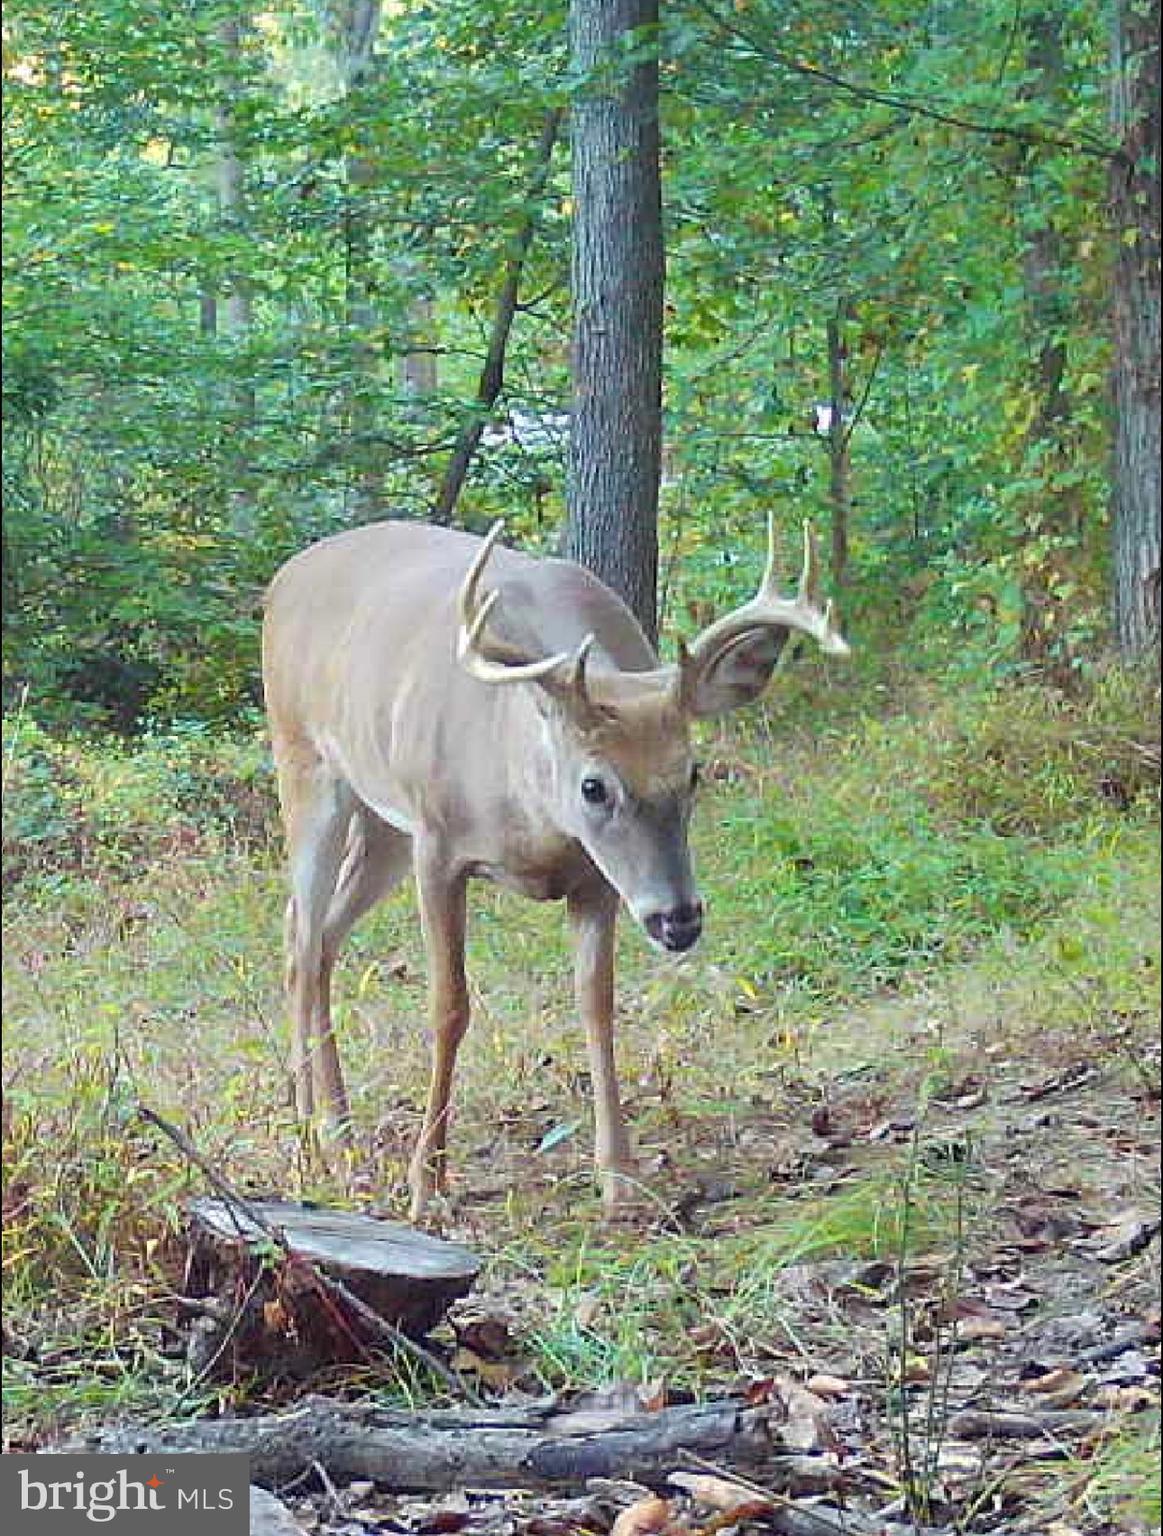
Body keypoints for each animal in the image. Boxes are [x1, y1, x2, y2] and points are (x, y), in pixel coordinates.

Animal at [262, 516, 849, 1221]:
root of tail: (286, 576)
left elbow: (596, 1001)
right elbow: (449, 1005)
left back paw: (340, 1132)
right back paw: (307, 1138)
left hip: (384, 825)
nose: (678, 918)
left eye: (693, 773)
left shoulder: (594, 879)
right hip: (306, 763)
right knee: (299, 935)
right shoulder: (438, 846)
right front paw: (427, 1185)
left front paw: (620, 1176)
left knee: (320, 937)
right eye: (594, 787)